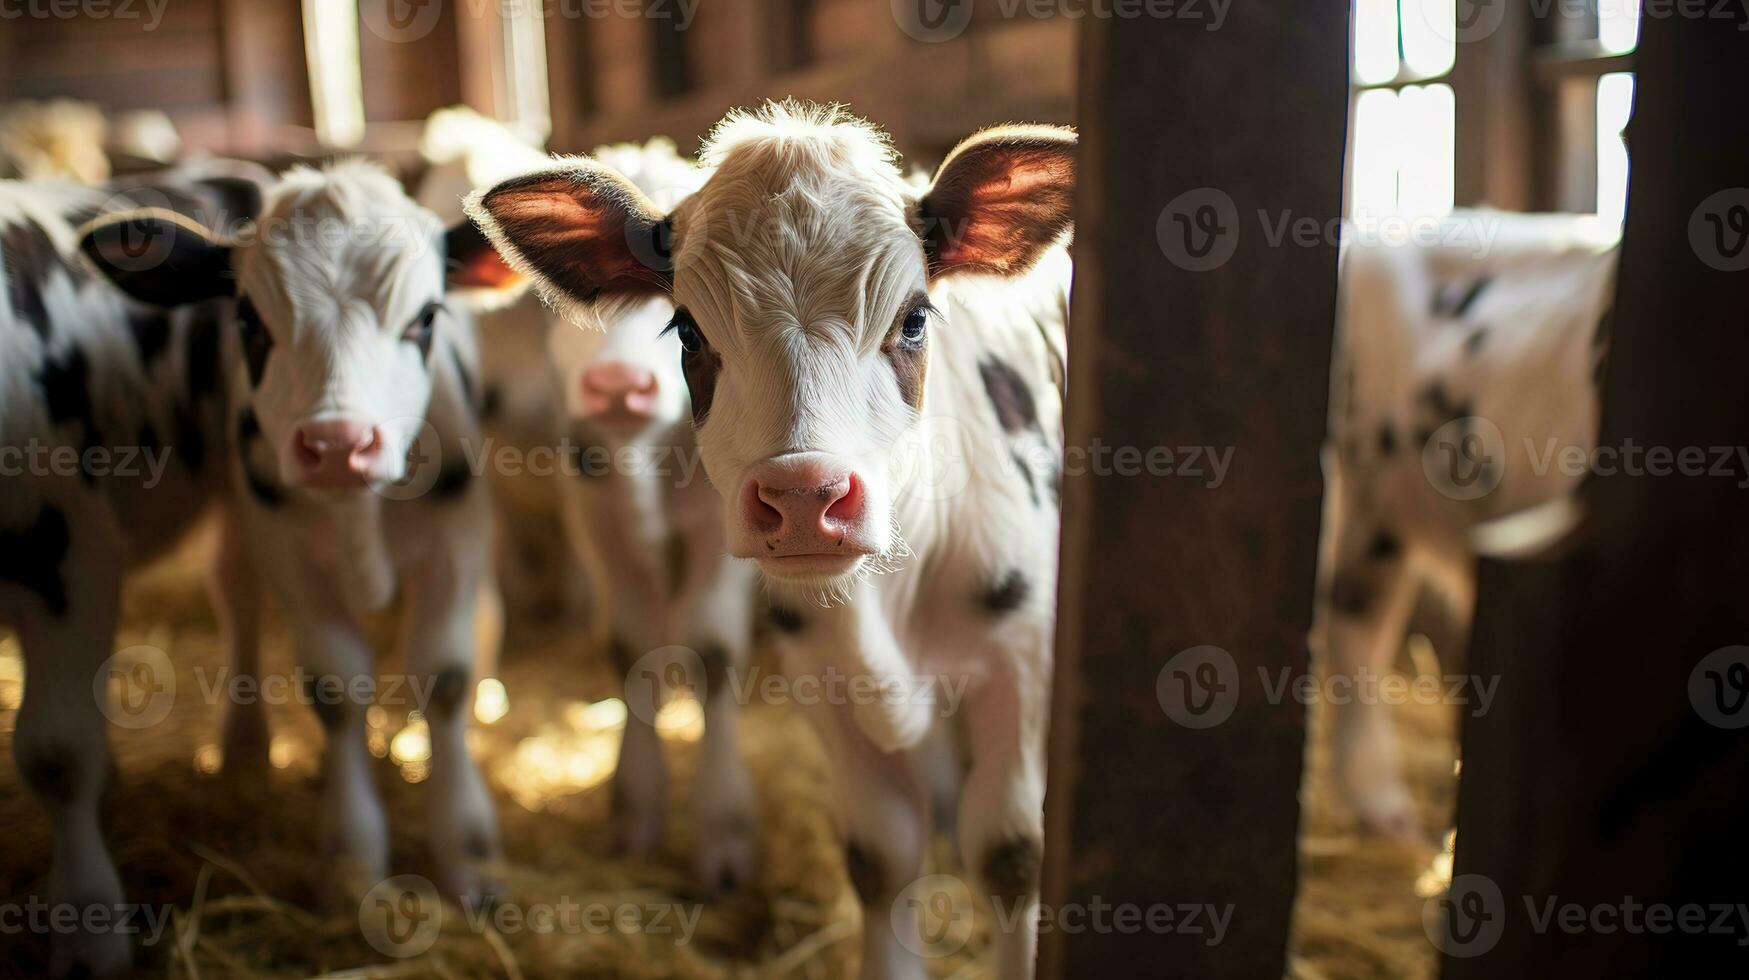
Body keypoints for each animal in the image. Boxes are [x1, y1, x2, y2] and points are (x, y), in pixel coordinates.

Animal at [475, 101, 1077, 980]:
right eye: (687, 331)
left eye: (915, 318)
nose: (802, 496)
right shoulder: (820, 677)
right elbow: (880, 855)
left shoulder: (1023, 665)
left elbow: (1009, 854)